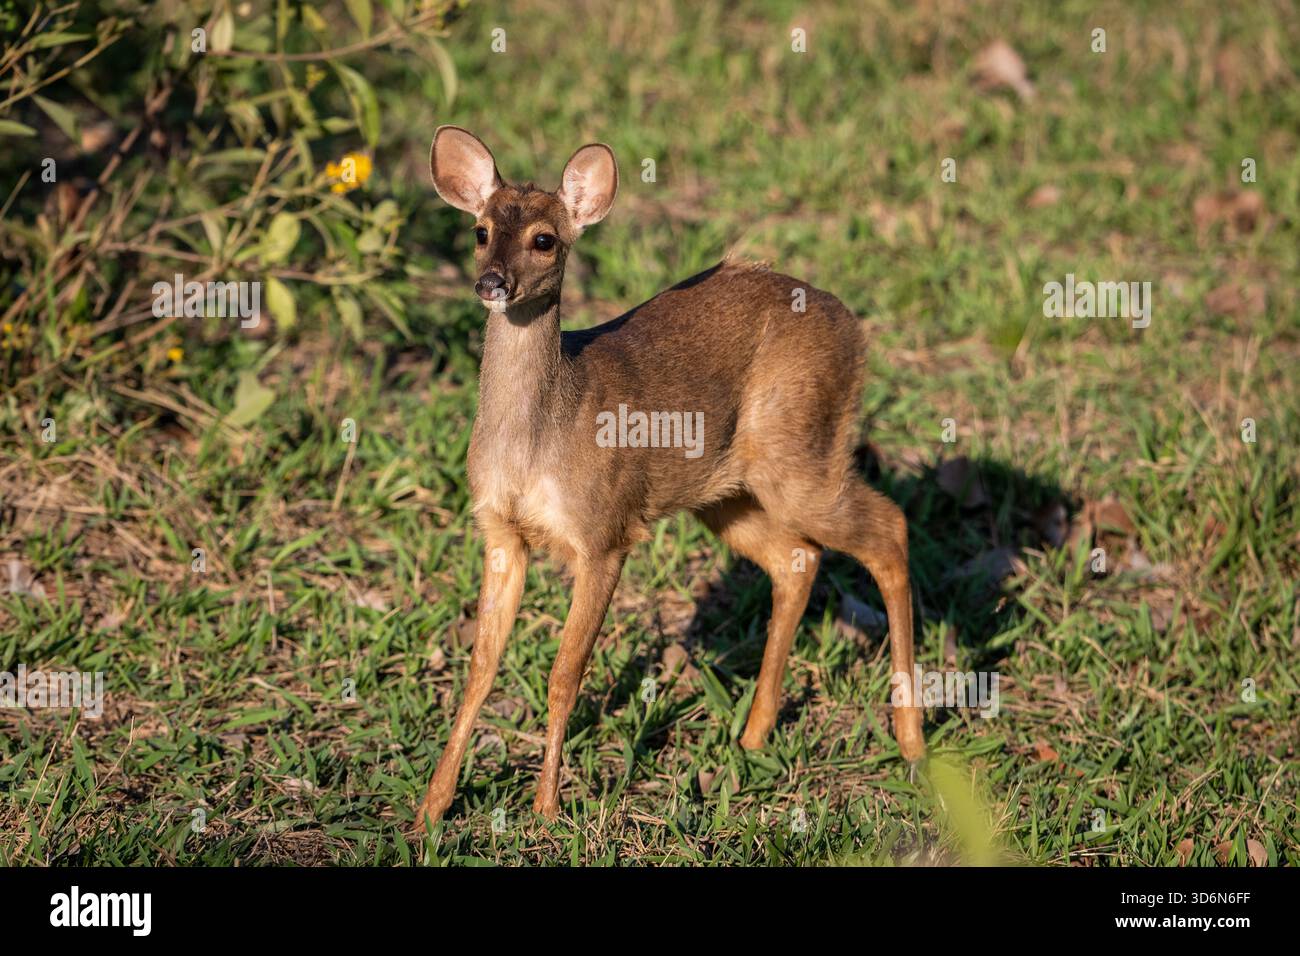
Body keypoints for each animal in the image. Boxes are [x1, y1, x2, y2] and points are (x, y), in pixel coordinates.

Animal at [416, 126, 925, 830]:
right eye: (481, 231)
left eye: (545, 239)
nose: (491, 282)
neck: (538, 440)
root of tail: (855, 326)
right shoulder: (501, 533)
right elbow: (481, 667)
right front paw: (429, 809)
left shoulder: (603, 532)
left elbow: (565, 672)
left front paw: (546, 809)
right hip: (727, 492)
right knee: (797, 557)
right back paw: (753, 737)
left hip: (802, 455)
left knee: (888, 528)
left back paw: (911, 740)